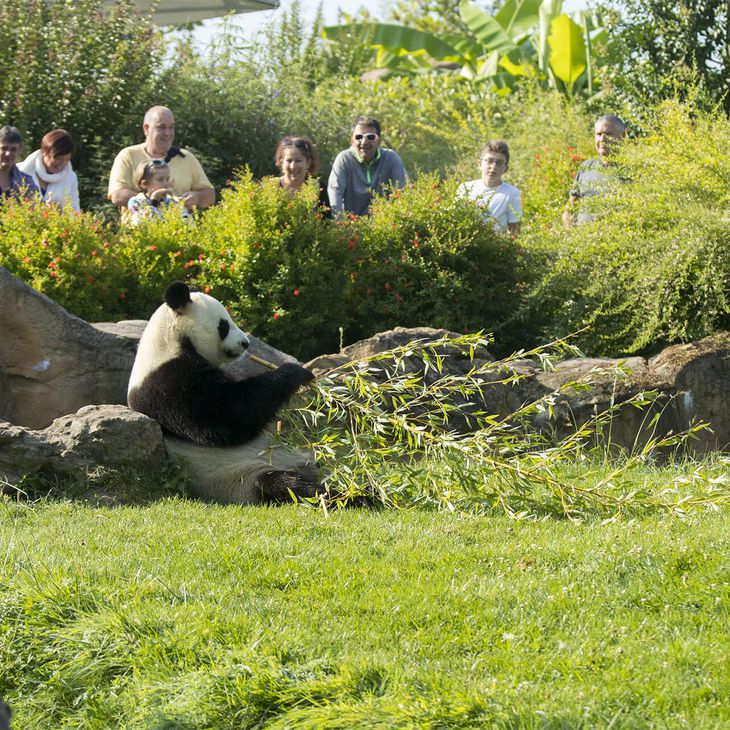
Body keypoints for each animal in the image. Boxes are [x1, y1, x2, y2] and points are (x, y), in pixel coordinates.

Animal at [128, 281, 322, 503]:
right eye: (224, 326)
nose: (245, 343)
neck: (169, 341)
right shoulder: (167, 384)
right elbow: (225, 418)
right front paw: (296, 372)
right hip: (242, 478)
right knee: (289, 485)